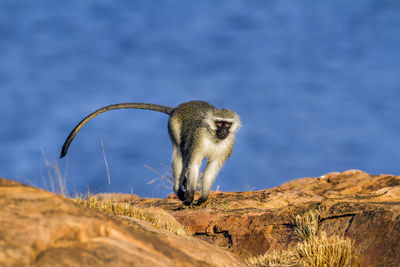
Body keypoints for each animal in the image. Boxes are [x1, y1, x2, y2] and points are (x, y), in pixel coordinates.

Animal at [59, 101, 241, 206]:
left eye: (227, 124)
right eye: (219, 123)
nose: (223, 131)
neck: (213, 136)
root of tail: (177, 108)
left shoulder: (227, 145)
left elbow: (212, 169)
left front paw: (203, 197)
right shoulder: (199, 140)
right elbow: (194, 164)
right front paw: (190, 196)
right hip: (173, 127)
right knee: (180, 156)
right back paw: (179, 191)